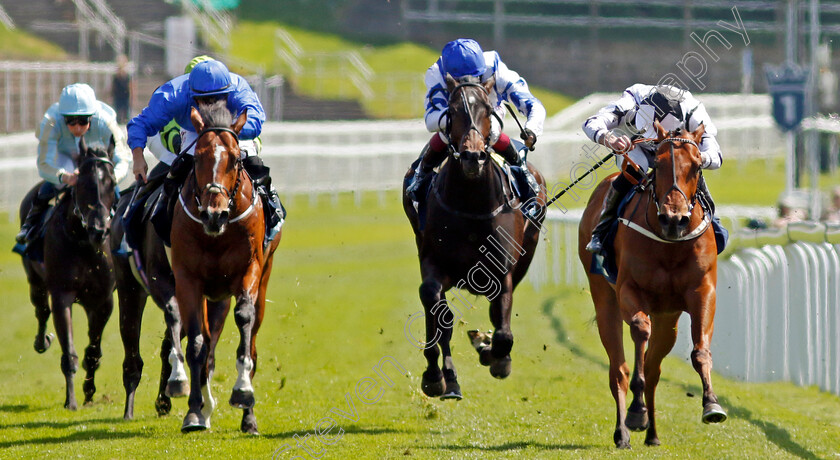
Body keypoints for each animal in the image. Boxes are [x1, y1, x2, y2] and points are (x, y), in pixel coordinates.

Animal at [17, 136, 118, 410]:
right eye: (81, 183)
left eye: (112, 182)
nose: (99, 230)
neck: (83, 241)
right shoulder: (61, 295)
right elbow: (68, 350)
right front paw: (71, 401)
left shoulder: (102, 300)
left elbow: (93, 351)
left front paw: (89, 392)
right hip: (35, 281)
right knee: (41, 310)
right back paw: (42, 341)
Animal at [171, 102, 282, 434]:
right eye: (197, 157)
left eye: (234, 159)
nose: (214, 214)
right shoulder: (187, 278)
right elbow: (197, 344)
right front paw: (194, 412)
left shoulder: (249, 269)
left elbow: (244, 320)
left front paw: (243, 391)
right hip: (213, 296)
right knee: (208, 345)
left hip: (262, 281)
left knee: (253, 340)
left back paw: (249, 418)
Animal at [404, 74, 548, 398]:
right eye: (454, 109)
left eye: (486, 109)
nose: (472, 156)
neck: (471, 203)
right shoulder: (434, 263)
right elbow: (435, 308)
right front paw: (435, 375)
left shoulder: (502, 272)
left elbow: (503, 331)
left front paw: (494, 354)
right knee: (440, 316)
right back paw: (448, 379)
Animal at [576, 123, 728, 450]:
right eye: (657, 164)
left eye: (697, 165)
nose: (674, 219)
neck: (669, 245)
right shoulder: (629, 290)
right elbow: (639, 334)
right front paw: (636, 411)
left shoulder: (703, 292)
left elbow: (699, 351)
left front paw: (711, 403)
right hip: (604, 299)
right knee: (619, 369)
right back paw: (623, 431)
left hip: (668, 319)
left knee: (655, 369)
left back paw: (653, 433)